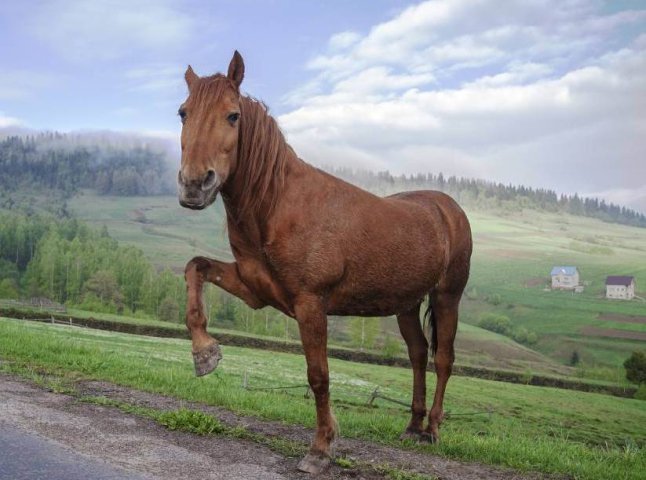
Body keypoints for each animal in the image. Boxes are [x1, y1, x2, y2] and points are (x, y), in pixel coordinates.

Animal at [180, 51, 474, 472]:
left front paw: (321, 448)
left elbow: (318, 375)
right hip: (406, 303)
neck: (278, 203)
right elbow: (195, 268)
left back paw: (432, 430)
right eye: (183, 113)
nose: (193, 185)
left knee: (444, 359)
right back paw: (412, 426)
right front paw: (205, 353)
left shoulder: (310, 304)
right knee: (418, 355)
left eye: (233, 116)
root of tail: (447, 208)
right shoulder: (255, 290)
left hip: (447, 297)